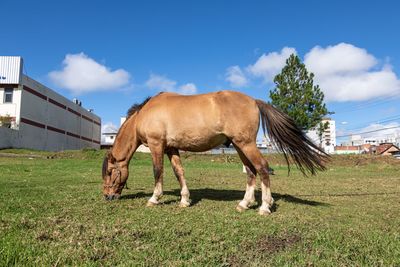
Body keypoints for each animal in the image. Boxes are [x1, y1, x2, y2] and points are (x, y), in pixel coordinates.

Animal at [102, 91, 328, 217]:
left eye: (110, 173)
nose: (107, 196)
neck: (146, 114)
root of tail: (254, 100)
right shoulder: (171, 148)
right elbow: (179, 172)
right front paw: (184, 200)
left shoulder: (157, 145)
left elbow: (158, 172)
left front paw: (154, 199)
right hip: (239, 146)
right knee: (250, 172)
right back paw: (244, 204)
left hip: (246, 144)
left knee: (262, 168)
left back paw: (264, 206)